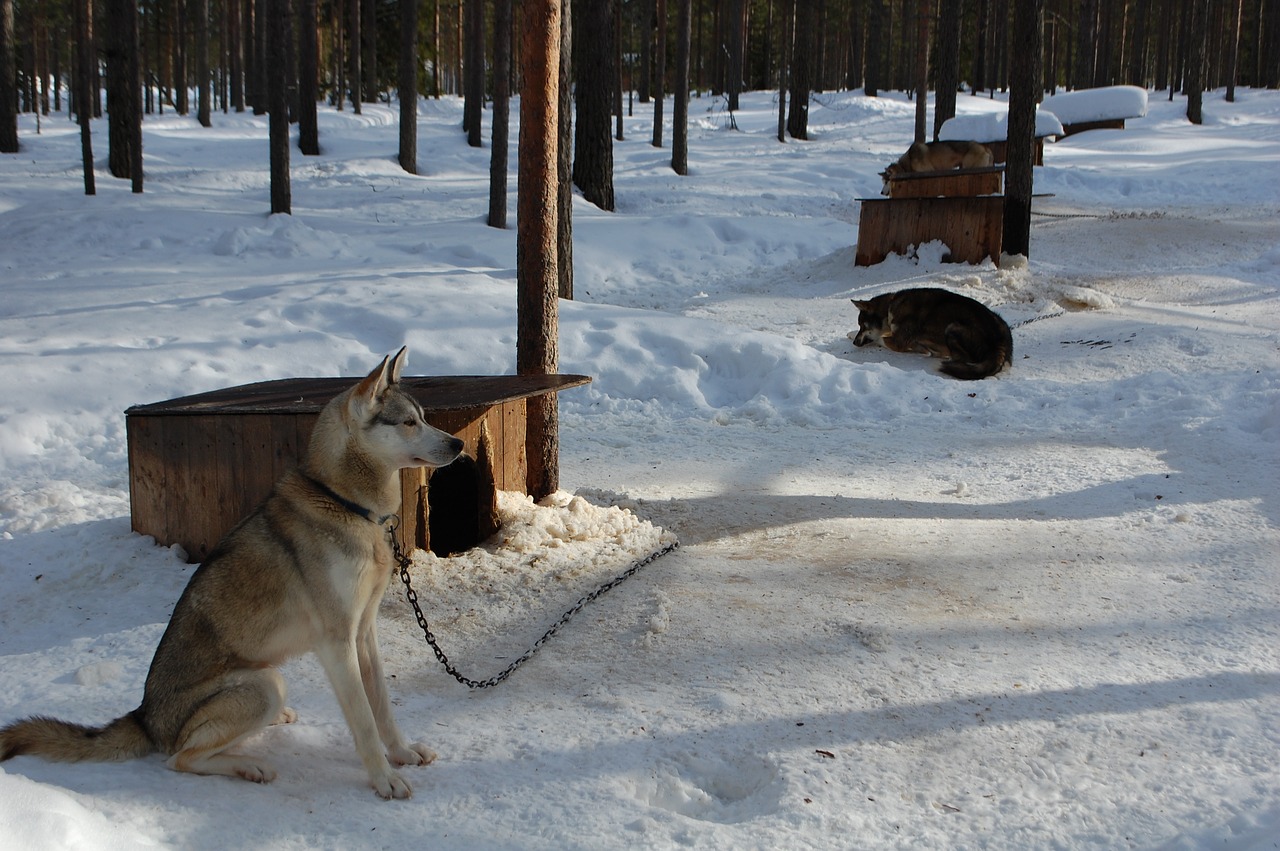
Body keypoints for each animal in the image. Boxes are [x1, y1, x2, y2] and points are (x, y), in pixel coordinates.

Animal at [855, 286, 1013, 378]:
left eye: (862, 325)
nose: (855, 343)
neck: (889, 307)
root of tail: (1001, 343)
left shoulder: (898, 341)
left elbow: (878, 338)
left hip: (952, 327)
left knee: (964, 358)